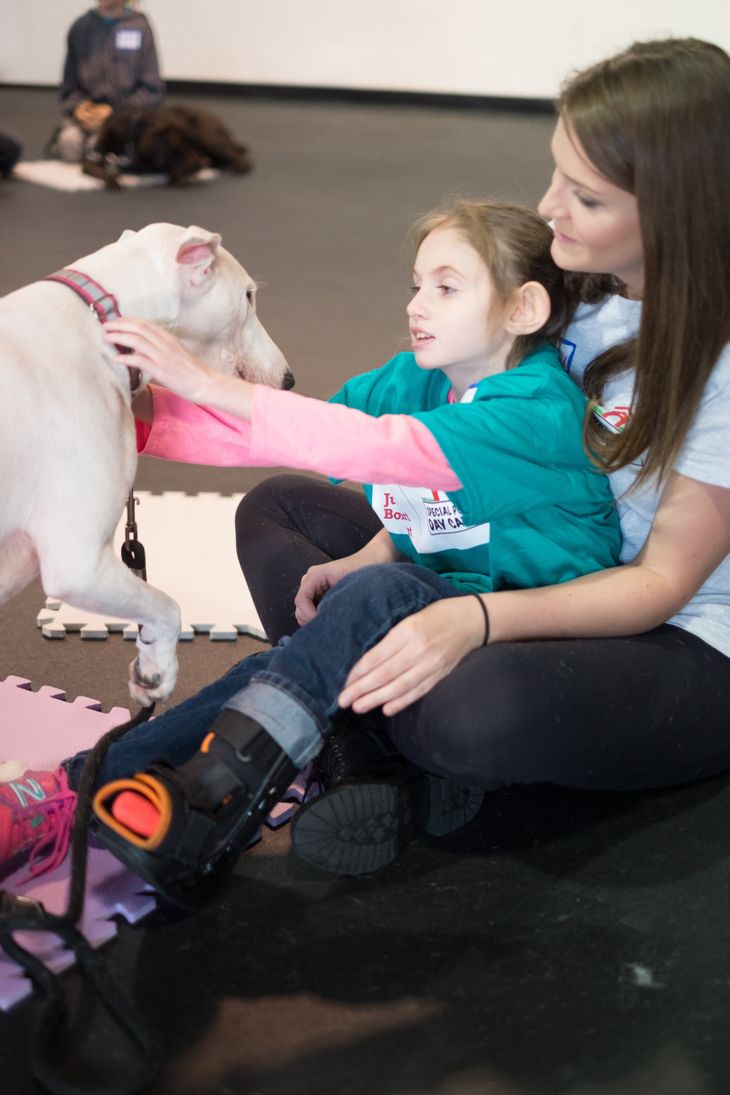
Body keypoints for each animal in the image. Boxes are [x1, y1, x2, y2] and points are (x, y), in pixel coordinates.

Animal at [0, 220, 291, 709]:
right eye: (249, 296)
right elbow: (167, 606)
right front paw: (157, 667)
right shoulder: (80, 564)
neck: (101, 323)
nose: (289, 380)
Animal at [82, 102, 252, 188]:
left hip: (210, 139)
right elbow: (96, 169)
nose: (204, 163)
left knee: (239, 152)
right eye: (179, 149)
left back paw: (239, 166)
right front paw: (112, 180)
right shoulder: (92, 157)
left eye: (191, 144)